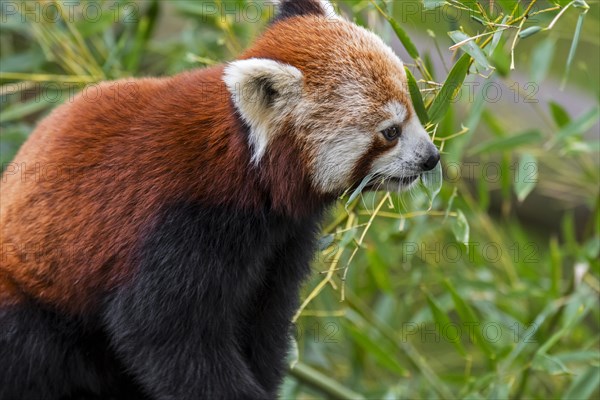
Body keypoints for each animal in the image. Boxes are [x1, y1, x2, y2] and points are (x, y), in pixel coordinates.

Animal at [1, 1, 440, 398]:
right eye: (390, 132)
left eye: (413, 107)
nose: (431, 157)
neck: (247, 167)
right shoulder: (179, 224)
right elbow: (162, 333)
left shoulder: (283, 242)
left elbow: (264, 323)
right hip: (31, 307)